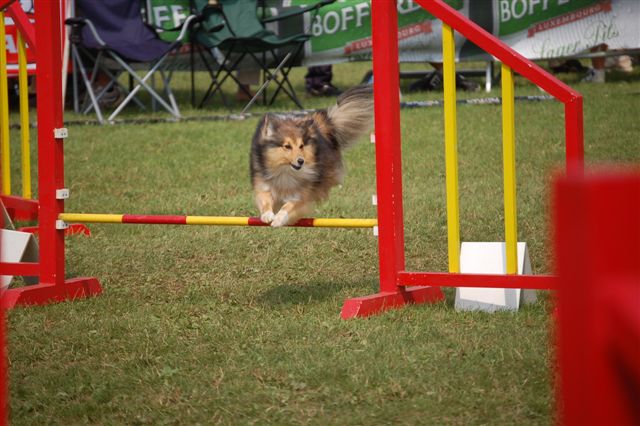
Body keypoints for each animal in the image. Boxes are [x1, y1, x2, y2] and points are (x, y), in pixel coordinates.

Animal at [248, 85, 372, 228]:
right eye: (287, 146)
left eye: (301, 145)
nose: (301, 161)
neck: (285, 170)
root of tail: (320, 123)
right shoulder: (263, 184)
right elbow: (265, 200)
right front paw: (267, 215)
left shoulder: (302, 194)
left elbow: (288, 206)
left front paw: (278, 219)